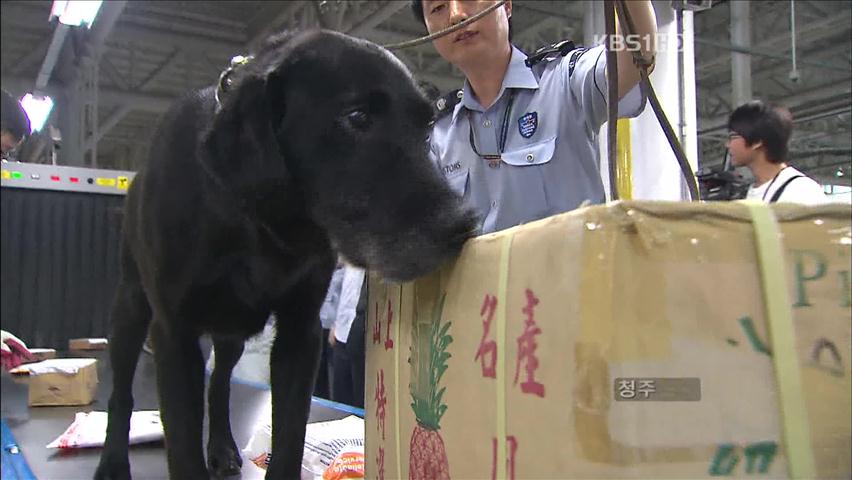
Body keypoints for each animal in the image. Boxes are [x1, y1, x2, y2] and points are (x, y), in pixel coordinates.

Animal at [95, 31, 480, 480]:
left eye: (426, 129)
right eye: (357, 117)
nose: (462, 224)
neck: (256, 223)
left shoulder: (301, 333)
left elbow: (290, 437)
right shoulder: (173, 333)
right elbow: (183, 446)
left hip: (231, 334)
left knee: (219, 384)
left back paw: (223, 446)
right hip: (130, 310)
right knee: (121, 393)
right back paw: (112, 460)